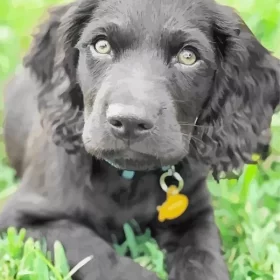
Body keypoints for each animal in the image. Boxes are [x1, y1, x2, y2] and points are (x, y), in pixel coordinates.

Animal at [0, 0, 280, 278]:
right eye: (102, 45)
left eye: (188, 56)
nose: (130, 122)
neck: (128, 177)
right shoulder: (21, 218)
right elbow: (95, 251)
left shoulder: (195, 216)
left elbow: (204, 260)